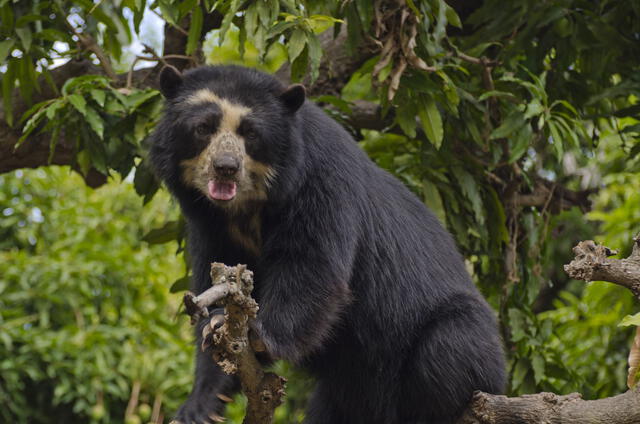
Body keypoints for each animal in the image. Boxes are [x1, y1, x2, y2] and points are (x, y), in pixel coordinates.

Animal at [150, 63, 504, 424]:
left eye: (251, 133)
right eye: (203, 128)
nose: (225, 168)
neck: (247, 208)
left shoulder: (320, 181)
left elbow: (312, 265)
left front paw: (258, 335)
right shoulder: (210, 225)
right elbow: (217, 282)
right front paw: (200, 401)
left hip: (457, 342)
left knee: (447, 347)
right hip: (342, 391)